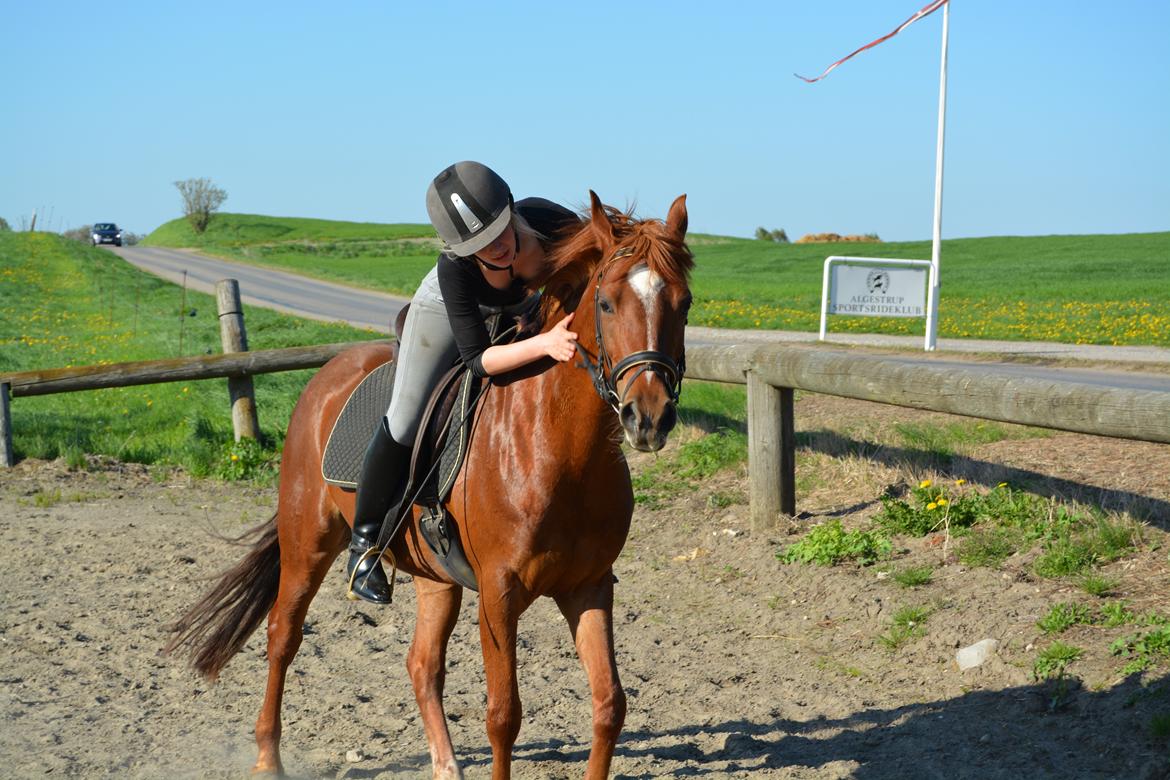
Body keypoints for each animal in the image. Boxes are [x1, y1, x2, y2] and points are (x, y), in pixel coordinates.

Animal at [166, 190, 692, 780]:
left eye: (685, 303)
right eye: (605, 303)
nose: (649, 417)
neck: (561, 452)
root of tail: (328, 374)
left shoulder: (590, 585)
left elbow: (609, 705)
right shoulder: (499, 593)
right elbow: (503, 715)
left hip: (433, 575)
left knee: (422, 664)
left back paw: (445, 765)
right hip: (309, 542)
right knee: (283, 635)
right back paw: (267, 756)